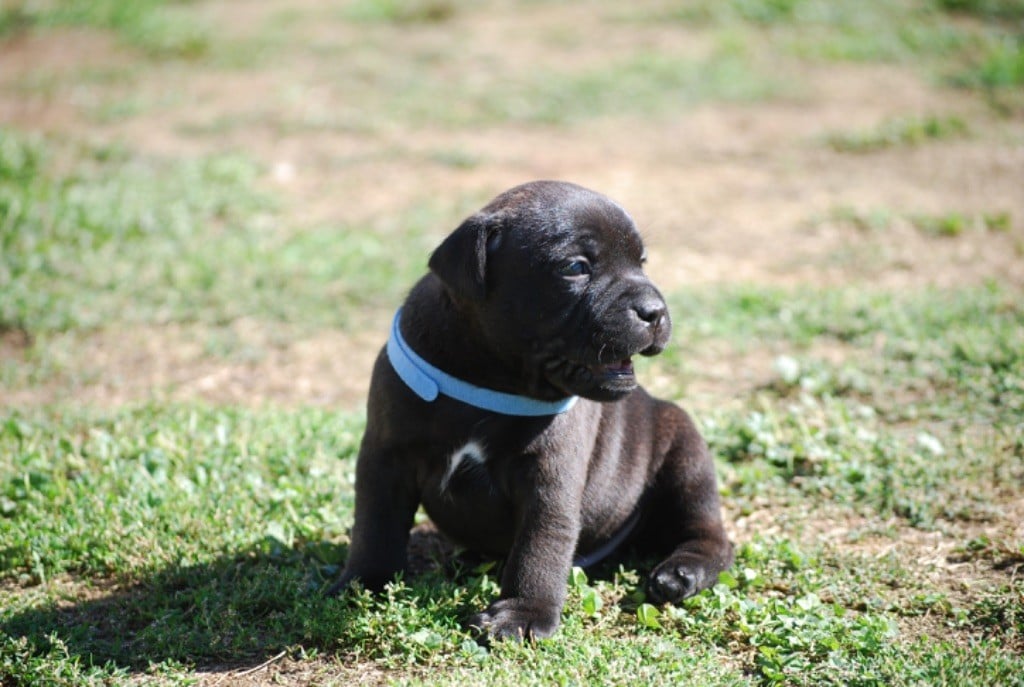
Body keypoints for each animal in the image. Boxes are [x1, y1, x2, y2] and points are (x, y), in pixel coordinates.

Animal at [332, 180, 733, 640]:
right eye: (576, 267)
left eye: (642, 262)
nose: (655, 311)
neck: (490, 375)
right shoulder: (386, 456)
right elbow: (375, 525)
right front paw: (363, 582)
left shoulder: (549, 477)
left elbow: (540, 546)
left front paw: (523, 614)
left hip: (686, 452)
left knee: (709, 534)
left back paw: (680, 573)